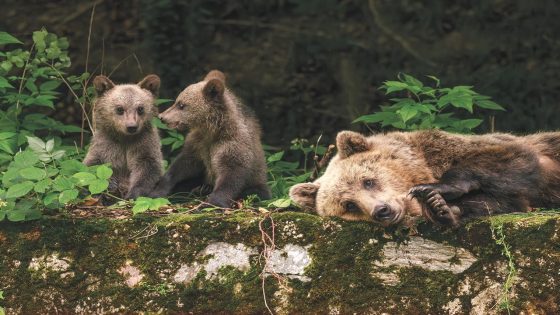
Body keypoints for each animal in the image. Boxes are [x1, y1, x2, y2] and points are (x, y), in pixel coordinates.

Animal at [288, 130, 560, 227]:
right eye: (349, 205)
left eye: (368, 181)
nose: (382, 210)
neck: (424, 165)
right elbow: (500, 202)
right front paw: (441, 209)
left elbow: (509, 157)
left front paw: (435, 190)